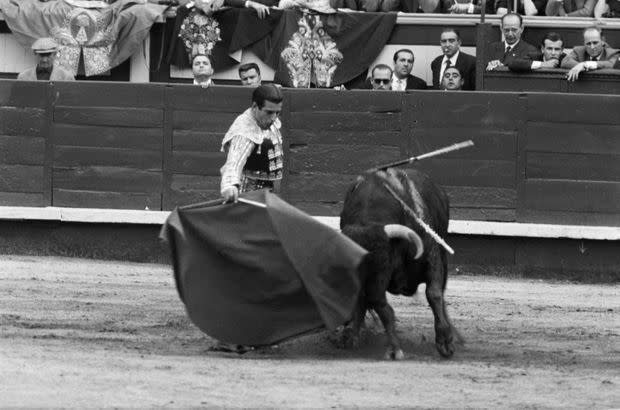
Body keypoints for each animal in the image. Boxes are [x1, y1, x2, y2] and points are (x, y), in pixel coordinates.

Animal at [340, 167, 460, 358]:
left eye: (384, 261)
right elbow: (380, 308)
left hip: (443, 259)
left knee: (440, 293)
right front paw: (392, 347)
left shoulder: (432, 258)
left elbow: (434, 294)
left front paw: (445, 341)